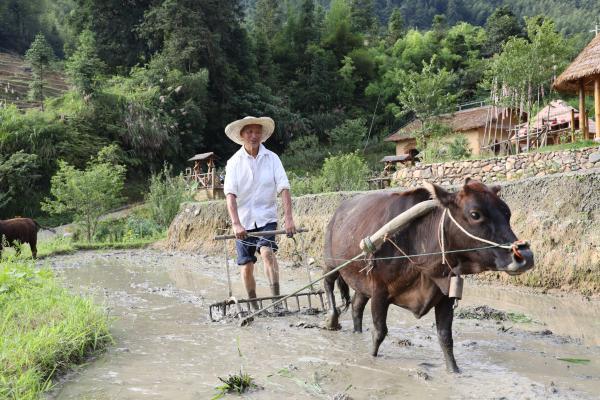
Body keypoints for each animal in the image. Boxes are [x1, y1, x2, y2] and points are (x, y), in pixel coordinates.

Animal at [324, 180, 536, 374]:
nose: (525, 256)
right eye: (475, 214)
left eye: (507, 213)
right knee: (329, 285)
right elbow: (379, 332)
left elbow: (445, 338)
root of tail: (337, 213)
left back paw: (356, 333)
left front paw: (454, 371)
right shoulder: (379, 292)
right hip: (330, 263)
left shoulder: (445, 296)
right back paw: (332, 319)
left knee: (356, 307)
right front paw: (371, 359)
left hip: (361, 282)